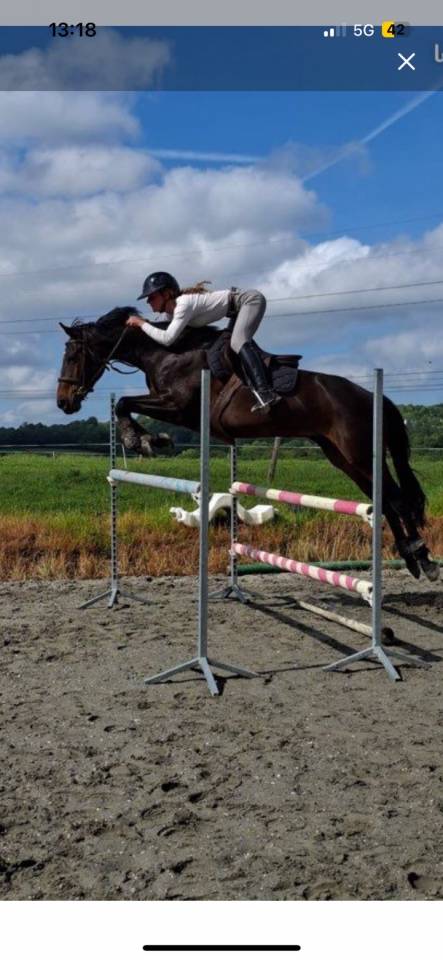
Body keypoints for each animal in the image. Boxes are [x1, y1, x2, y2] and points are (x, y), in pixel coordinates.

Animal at [56, 305, 439, 582]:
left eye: (72, 356)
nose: (64, 402)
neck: (166, 352)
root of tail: (371, 396)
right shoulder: (176, 409)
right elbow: (127, 404)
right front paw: (152, 439)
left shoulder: (179, 406)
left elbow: (124, 403)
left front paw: (141, 439)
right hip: (342, 457)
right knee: (385, 501)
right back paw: (414, 557)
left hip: (359, 453)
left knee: (396, 500)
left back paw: (422, 557)